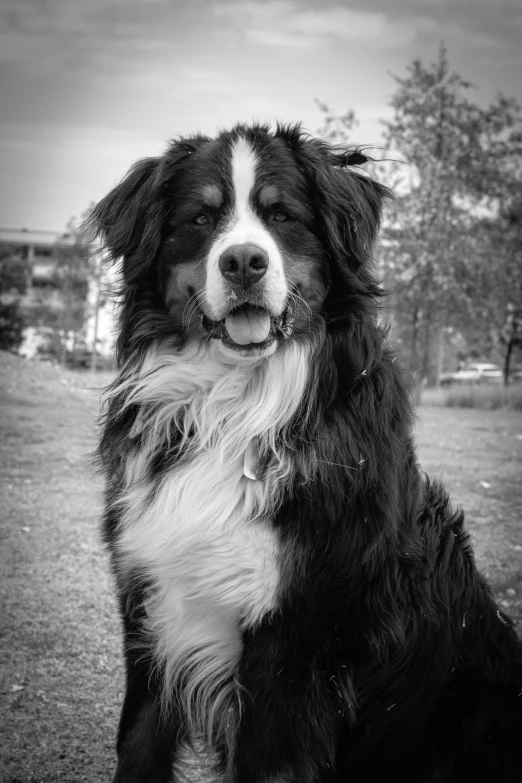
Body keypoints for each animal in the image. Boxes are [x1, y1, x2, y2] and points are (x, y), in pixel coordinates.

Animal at [91, 125, 520, 780]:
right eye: (201, 218)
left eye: (281, 215)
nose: (244, 261)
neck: (235, 405)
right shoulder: (149, 611)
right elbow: (136, 747)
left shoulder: (294, 648)